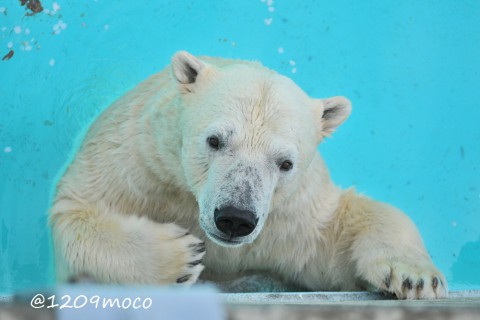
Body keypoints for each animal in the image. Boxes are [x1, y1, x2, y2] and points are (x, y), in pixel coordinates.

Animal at [48, 50, 446, 300]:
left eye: (285, 163)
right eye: (214, 140)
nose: (235, 219)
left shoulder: (292, 224)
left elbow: (342, 236)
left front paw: (414, 277)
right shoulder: (138, 160)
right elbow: (76, 213)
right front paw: (181, 256)